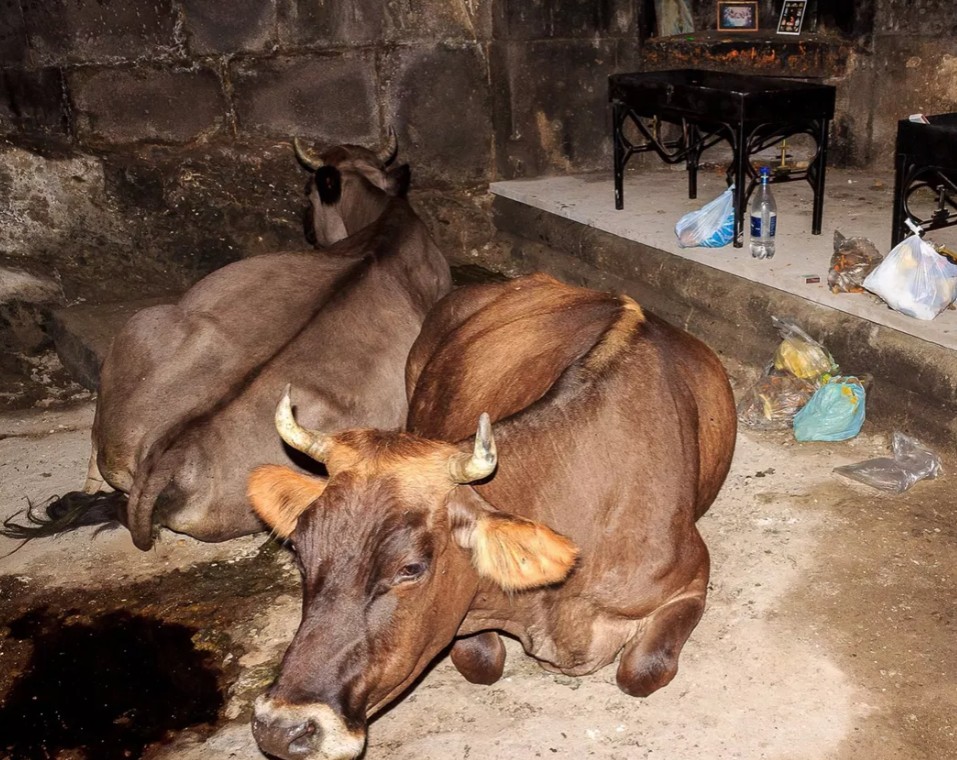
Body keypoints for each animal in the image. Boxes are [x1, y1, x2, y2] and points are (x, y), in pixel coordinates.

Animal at [246, 273, 737, 760]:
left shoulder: (692, 580)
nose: (282, 728)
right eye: (301, 553)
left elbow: (641, 671)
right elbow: (482, 659)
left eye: (411, 568)